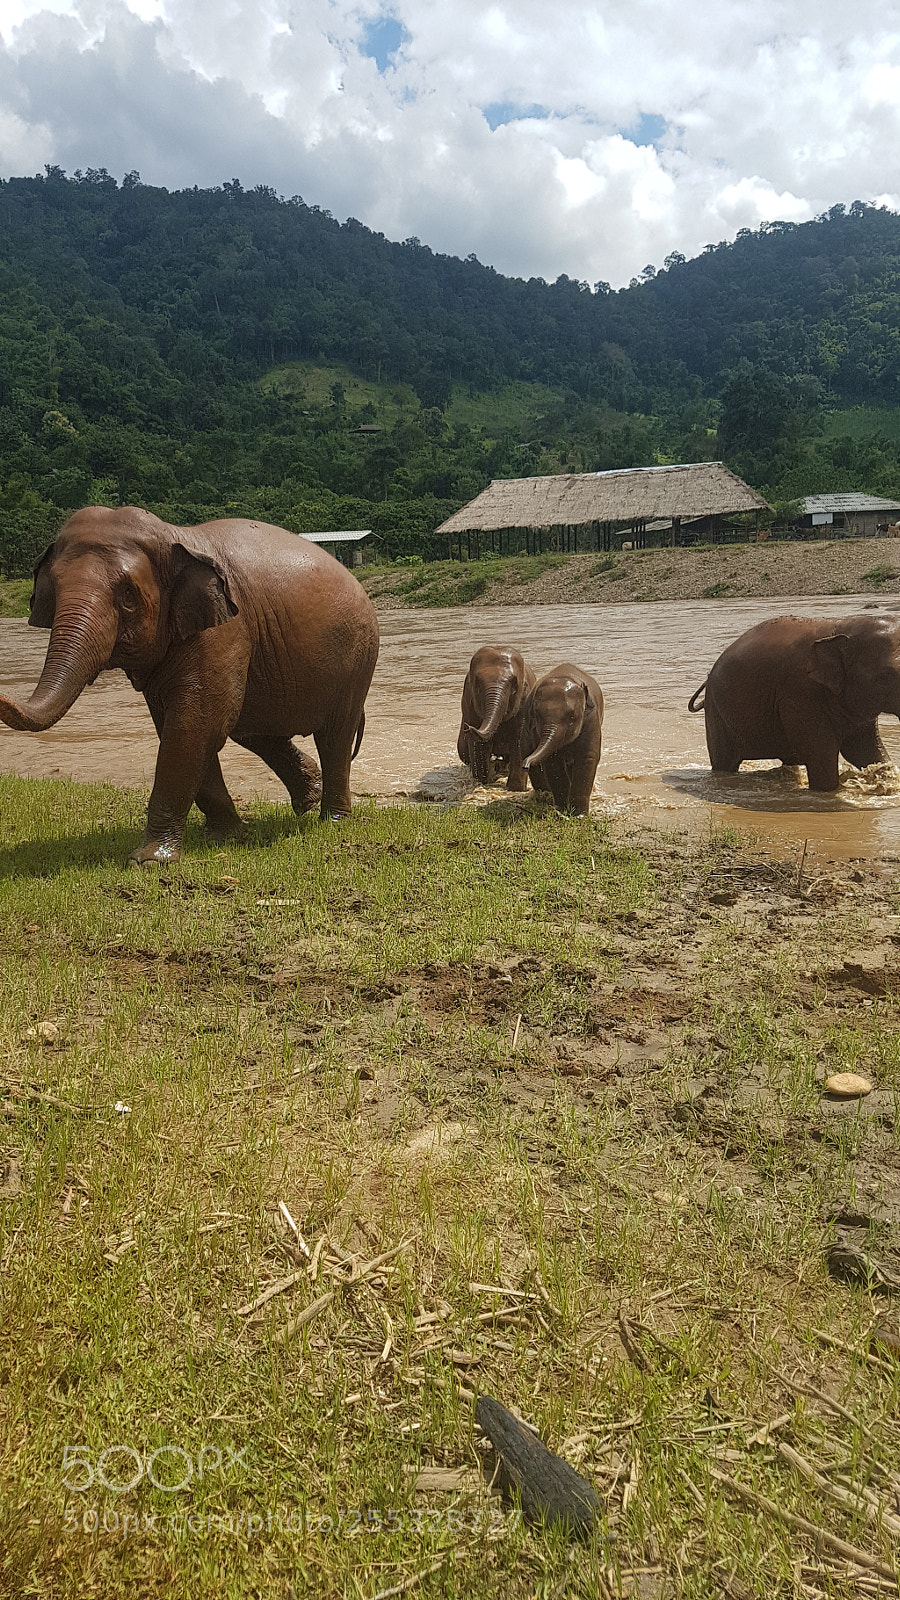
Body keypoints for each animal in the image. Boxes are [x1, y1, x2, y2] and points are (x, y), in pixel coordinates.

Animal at [0, 506, 379, 863]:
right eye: (53, 590)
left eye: (128, 597)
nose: (4, 694)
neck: (172, 535)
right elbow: (184, 726)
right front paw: (226, 836)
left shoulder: (223, 630)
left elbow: (193, 725)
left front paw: (149, 861)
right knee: (253, 728)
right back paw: (308, 798)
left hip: (358, 655)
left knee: (333, 735)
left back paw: (332, 820)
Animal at [457, 645, 536, 789]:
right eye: (477, 686)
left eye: (514, 688)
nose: (467, 727)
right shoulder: (468, 700)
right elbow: (479, 744)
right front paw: (485, 781)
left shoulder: (525, 701)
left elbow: (518, 740)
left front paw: (515, 789)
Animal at [520, 664, 604, 815]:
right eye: (537, 715)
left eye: (572, 718)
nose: (525, 765)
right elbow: (552, 761)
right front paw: (562, 810)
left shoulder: (591, 719)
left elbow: (587, 757)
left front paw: (579, 815)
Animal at [688, 613, 900, 791]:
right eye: (886, 676)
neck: (840, 627)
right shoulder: (798, 693)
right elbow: (822, 754)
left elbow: (863, 751)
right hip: (717, 713)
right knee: (724, 761)